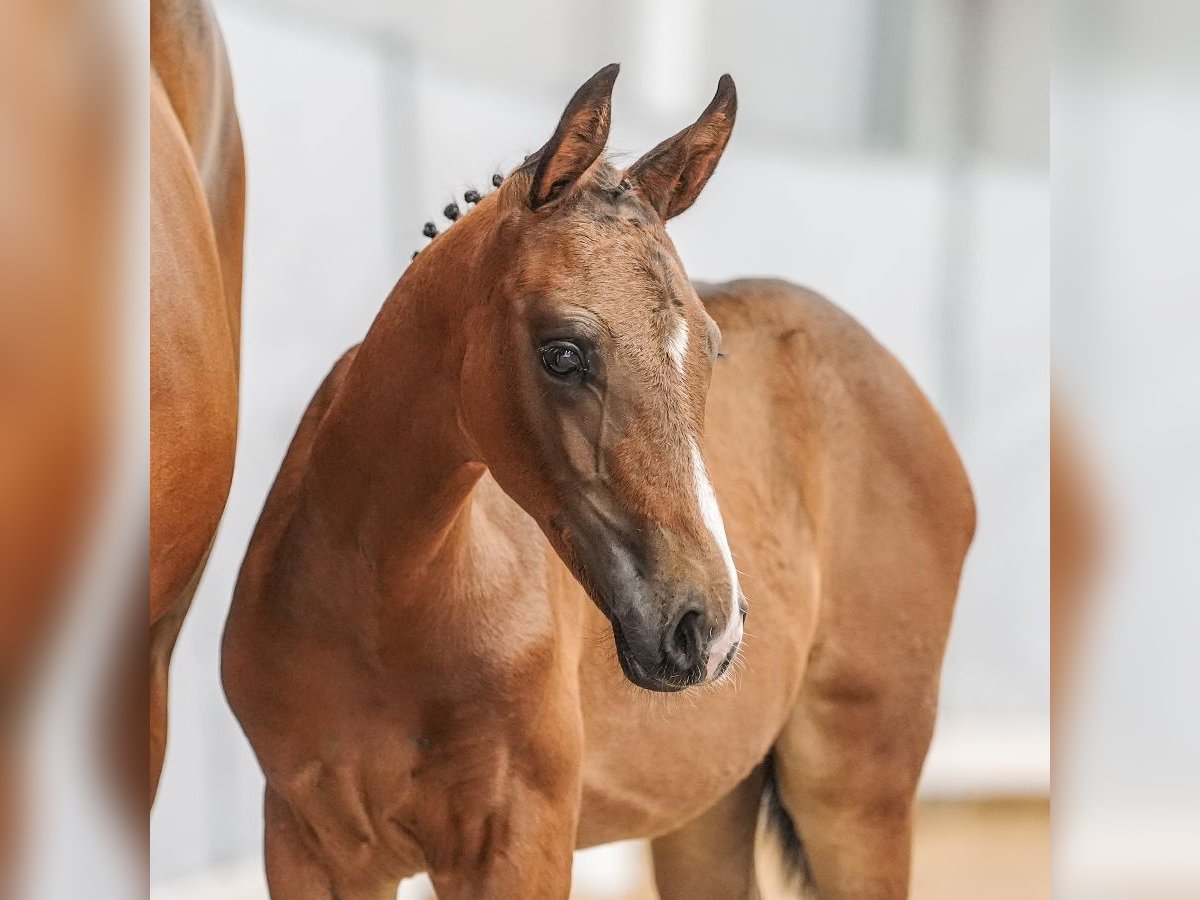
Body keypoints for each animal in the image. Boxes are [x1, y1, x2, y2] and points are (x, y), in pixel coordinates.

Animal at [223, 66, 974, 897]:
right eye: (562, 353)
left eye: (709, 348)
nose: (705, 626)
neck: (383, 602)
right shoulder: (310, 848)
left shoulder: (519, 844)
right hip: (704, 808)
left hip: (857, 789)